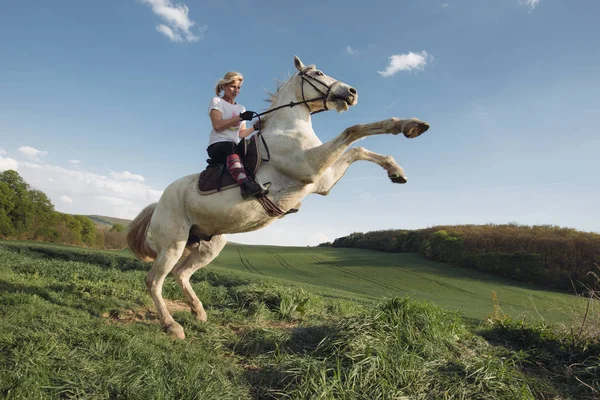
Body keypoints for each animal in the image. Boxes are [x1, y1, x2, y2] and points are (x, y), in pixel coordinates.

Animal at [126, 55, 428, 338]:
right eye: (319, 73)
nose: (352, 92)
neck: (288, 127)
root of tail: (157, 204)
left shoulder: (322, 181)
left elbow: (358, 148)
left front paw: (401, 155)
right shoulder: (310, 168)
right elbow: (353, 131)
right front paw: (407, 131)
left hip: (208, 245)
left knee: (181, 274)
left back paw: (198, 312)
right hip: (173, 244)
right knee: (154, 280)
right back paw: (172, 325)